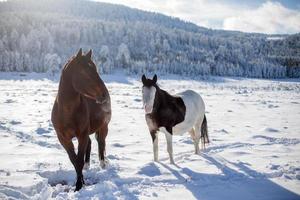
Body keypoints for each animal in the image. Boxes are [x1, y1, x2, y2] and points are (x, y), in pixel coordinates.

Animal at [51, 48, 112, 191]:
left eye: (95, 69)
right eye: (84, 72)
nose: (104, 95)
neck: (67, 111)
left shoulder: (82, 135)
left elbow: (78, 159)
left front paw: (79, 185)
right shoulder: (63, 138)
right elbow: (74, 160)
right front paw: (81, 181)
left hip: (103, 127)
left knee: (101, 143)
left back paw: (102, 164)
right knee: (90, 144)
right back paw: (87, 165)